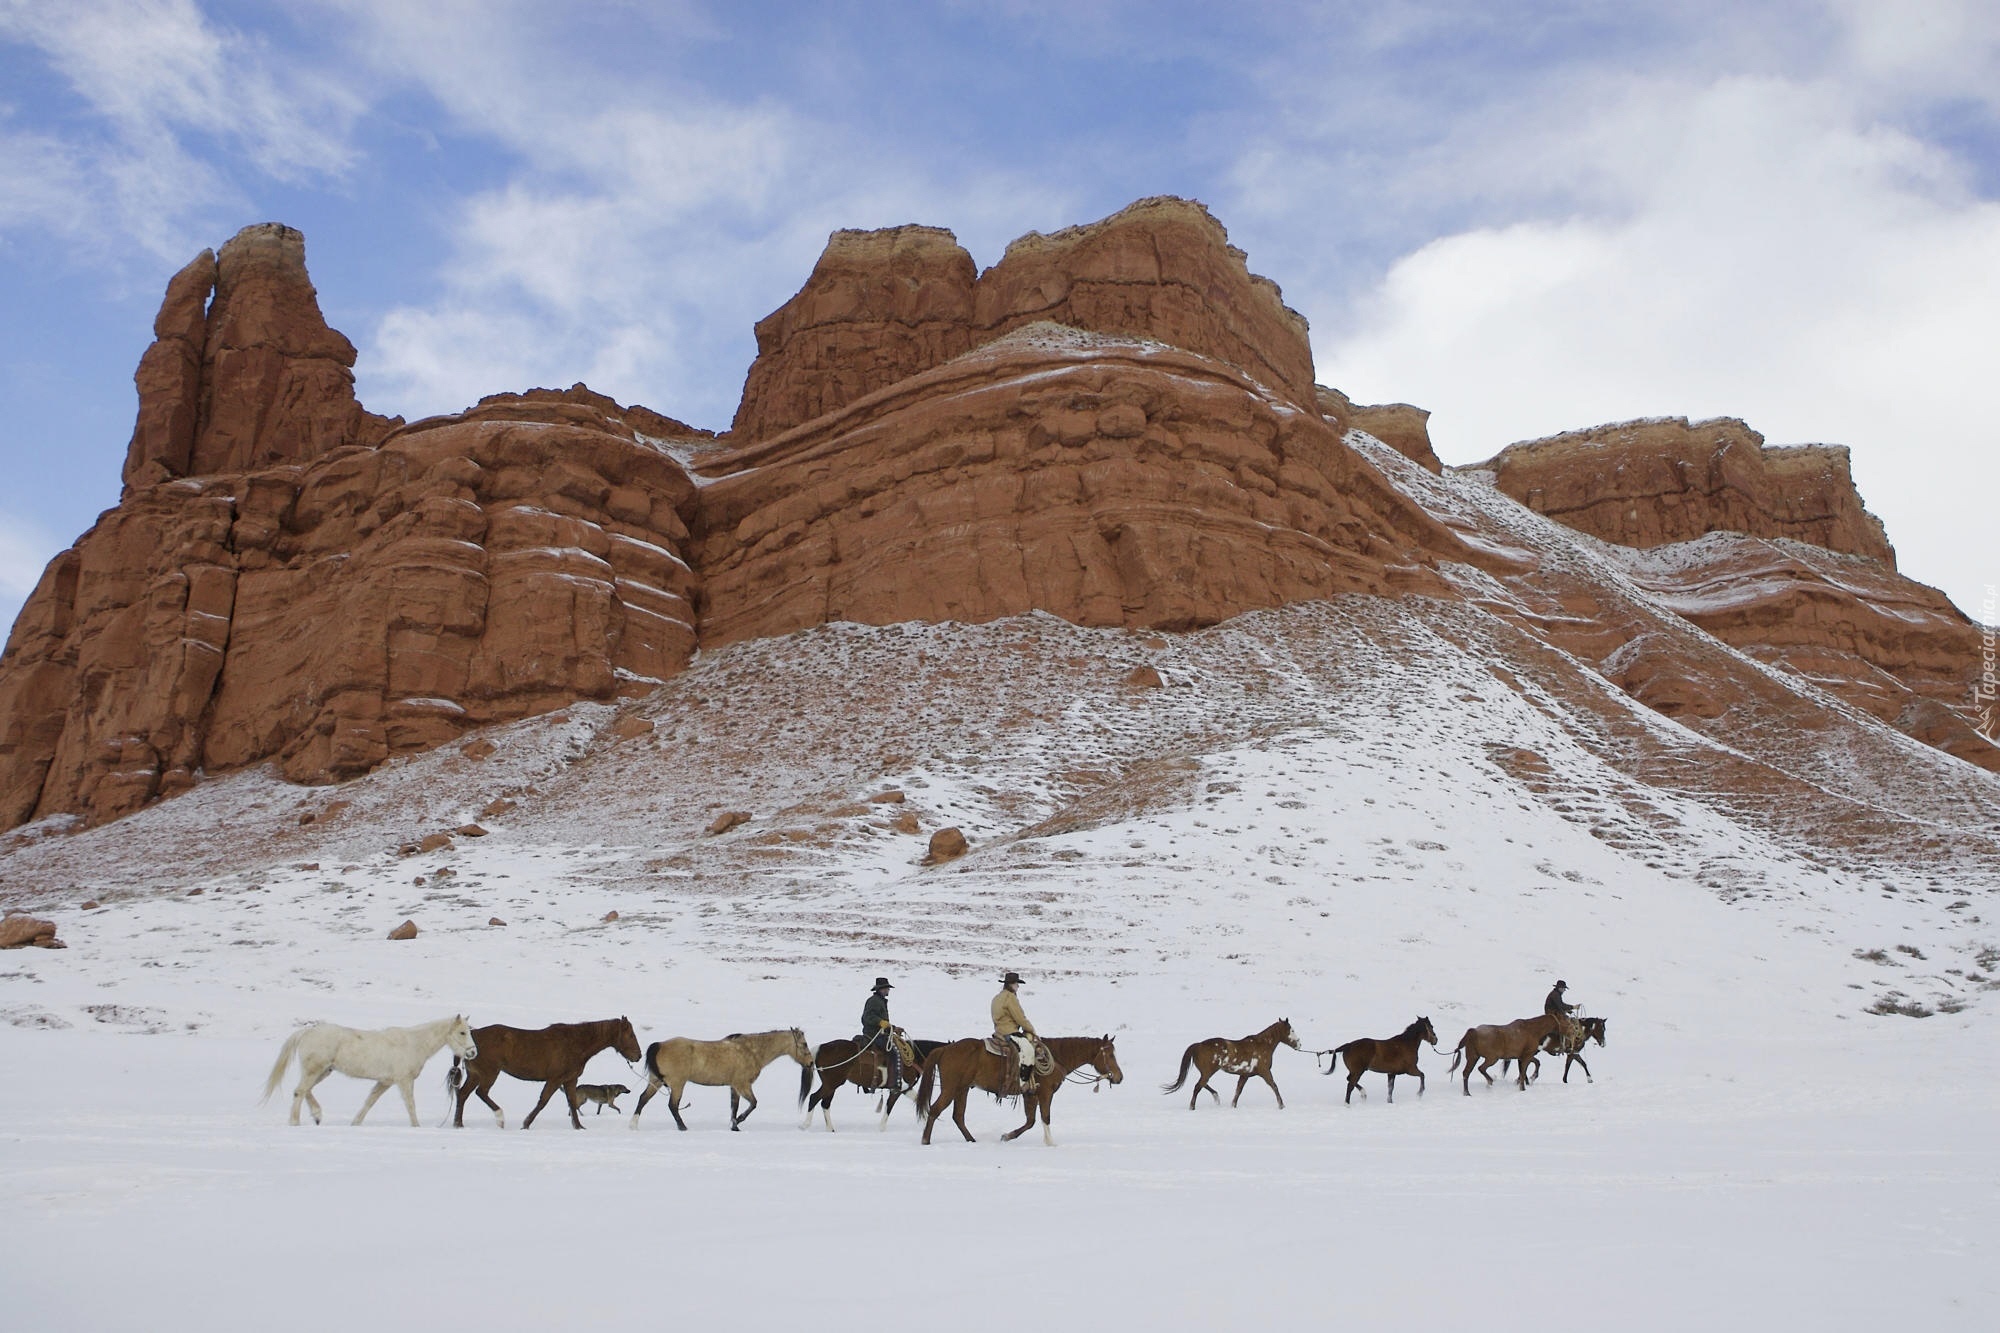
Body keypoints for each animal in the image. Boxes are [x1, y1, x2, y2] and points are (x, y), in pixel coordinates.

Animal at [452, 1012, 640, 1128]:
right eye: (631, 1035)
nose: (638, 1056)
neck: (575, 1043)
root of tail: (472, 1038)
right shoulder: (555, 1079)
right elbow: (543, 1101)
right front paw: (526, 1124)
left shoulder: (570, 1080)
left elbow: (572, 1102)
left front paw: (579, 1126)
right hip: (489, 1073)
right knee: (480, 1093)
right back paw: (499, 1119)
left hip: (475, 1075)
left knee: (463, 1094)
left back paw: (458, 1124)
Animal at [628, 1020, 808, 1128]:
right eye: (804, 1044)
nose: (810, 1063)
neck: (751, 1051)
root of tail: (659, 1045)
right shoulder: (743, 1085)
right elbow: (753, 1104)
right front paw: (739, 1121)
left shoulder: (734, 1087)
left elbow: (734, 1107)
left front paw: (734, 1126)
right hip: (678, 1084)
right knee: (672, 1105)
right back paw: (683, 1127)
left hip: (656, 1081)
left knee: (643, 1099)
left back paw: (633, 1125)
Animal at [916, 1024, 1128, 1144]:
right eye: (1110, 1055)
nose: (1119, 1077)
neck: (1057, 1056)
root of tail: (946, 1048)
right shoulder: (1045, 1093)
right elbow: (1045, 1117)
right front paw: (1050, 1143)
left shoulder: (1030, 1094)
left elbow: (1030, 1121)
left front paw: (1007, 1136)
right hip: (951, 1088)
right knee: (935, 1110)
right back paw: (925, 1140)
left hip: (962, 1089)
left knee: (958, 1116)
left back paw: (971, 1140)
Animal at [1168, 1012, 1304, 1104]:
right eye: (1291, 1030)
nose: (1299, 1044)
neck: (1262, 1044)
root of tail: (1198, 1045)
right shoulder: (1265, 1072)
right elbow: (1274, 1086)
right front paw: (1281, 1105)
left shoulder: (1244, 1075)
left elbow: (1238, 1092)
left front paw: (1233, 1106)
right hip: (1208, 1072)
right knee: (1198, 1086)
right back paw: (1193, 1106)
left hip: (1206, 1072)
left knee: (1203, 1084)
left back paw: (1216, 1097)